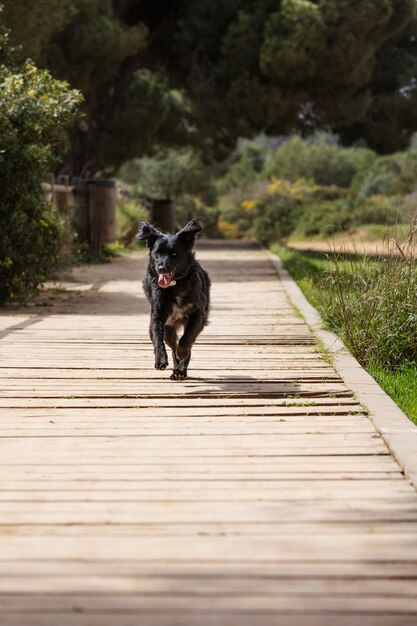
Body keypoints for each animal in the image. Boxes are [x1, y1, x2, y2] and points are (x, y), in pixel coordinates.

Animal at [136, 217, 210, 378]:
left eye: (174, 254)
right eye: (157, 254)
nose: (162, 268)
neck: (175, 286)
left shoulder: (197, 314)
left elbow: (186, 339)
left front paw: (182, 353)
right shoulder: (157, 317)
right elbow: (158, 339)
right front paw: (160, 360)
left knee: (186, 343)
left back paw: (181, 370)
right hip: (169, 328)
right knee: (172, 345)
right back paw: (177, 369)